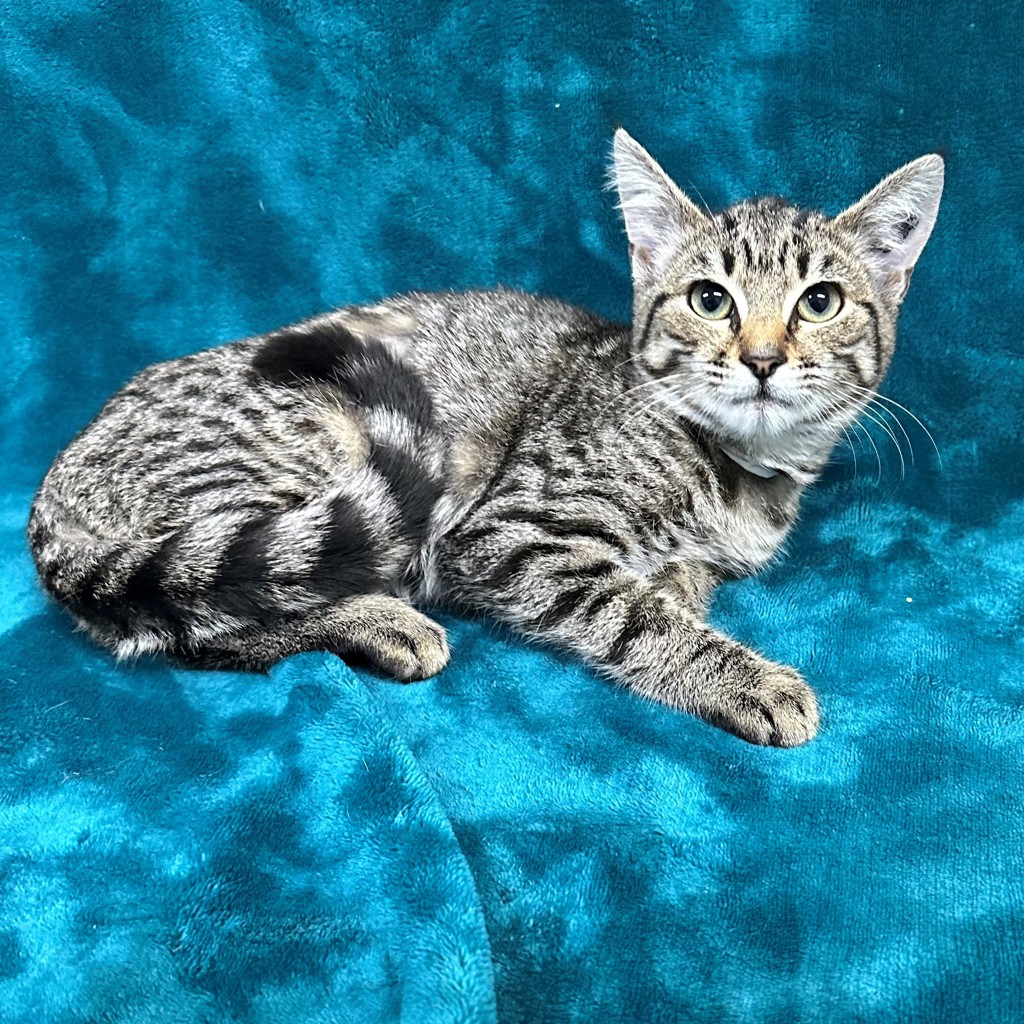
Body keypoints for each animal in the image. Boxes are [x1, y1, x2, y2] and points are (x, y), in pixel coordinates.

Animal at [28, 130, 944, 747]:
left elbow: (675, 581)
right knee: (204, 617)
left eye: (820, 302)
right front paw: (738, 673)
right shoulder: (509, 530)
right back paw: (381, 621)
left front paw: (683, 587)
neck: (739, 471)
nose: (760, 358)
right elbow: (630, 613)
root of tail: (54, 492)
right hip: (304, 460)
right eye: (710, 299)